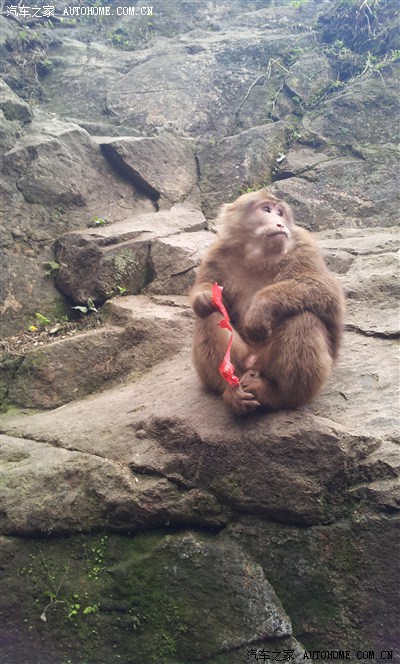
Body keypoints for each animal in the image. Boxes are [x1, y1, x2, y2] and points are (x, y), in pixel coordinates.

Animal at [190, 187, 344, 416]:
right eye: (266, 210)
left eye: (280, 213)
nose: (279, 223)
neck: (258, 255)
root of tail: (253, 363)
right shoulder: (217, 252)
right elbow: (207, 288)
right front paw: (205, 297)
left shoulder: (303, 244)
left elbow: (327, 291)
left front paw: (260, 309)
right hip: (241, 361)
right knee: (211, 315)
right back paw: (231, 390)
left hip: (268, 363)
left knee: (304, 317)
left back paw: (278, 395)